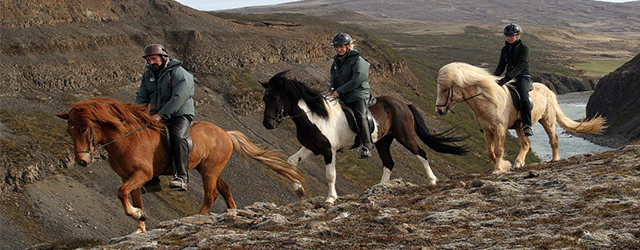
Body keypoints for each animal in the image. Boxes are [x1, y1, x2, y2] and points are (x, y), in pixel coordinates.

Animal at [55, 97, 304, 232]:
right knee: (224, 189)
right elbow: (132, 196)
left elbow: (121, 192)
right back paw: (232, 212)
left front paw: (136, 214)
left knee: (211, 194)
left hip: (210, 170)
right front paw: (140, 223)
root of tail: (225, 133)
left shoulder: (141, 174)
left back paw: (196, 216)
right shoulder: (130, 177)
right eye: (69, 131)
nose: (82, 161)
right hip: (208, 169)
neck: (127, 139)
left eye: (84, 129)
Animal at [262, 71, 468, 204]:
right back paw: (379, 189)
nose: (267, 124)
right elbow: (290, 162)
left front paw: (330, 198)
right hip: (384, 141)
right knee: (389, 162)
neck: (314, 117)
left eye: (276, 98)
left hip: (405, 136)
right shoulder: (311, 148)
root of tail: (404, 104)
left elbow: (330, 175)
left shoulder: (329, 151)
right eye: (265, 99)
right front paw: (299, 189)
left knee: (421, 153)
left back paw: (432, 180)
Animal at [436, 62, 604, 174]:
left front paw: (498, 169)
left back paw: (555, 158)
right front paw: (506, 165)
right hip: (519, 126)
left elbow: (498, 150)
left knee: (553, 139)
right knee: (526, 144)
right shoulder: (487, 131)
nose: (439, 110)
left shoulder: (500, 129)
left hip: (547, 120)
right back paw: (519, 162)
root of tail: (549, 90)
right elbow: (489, 151)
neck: (488, 100)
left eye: (445, 89)